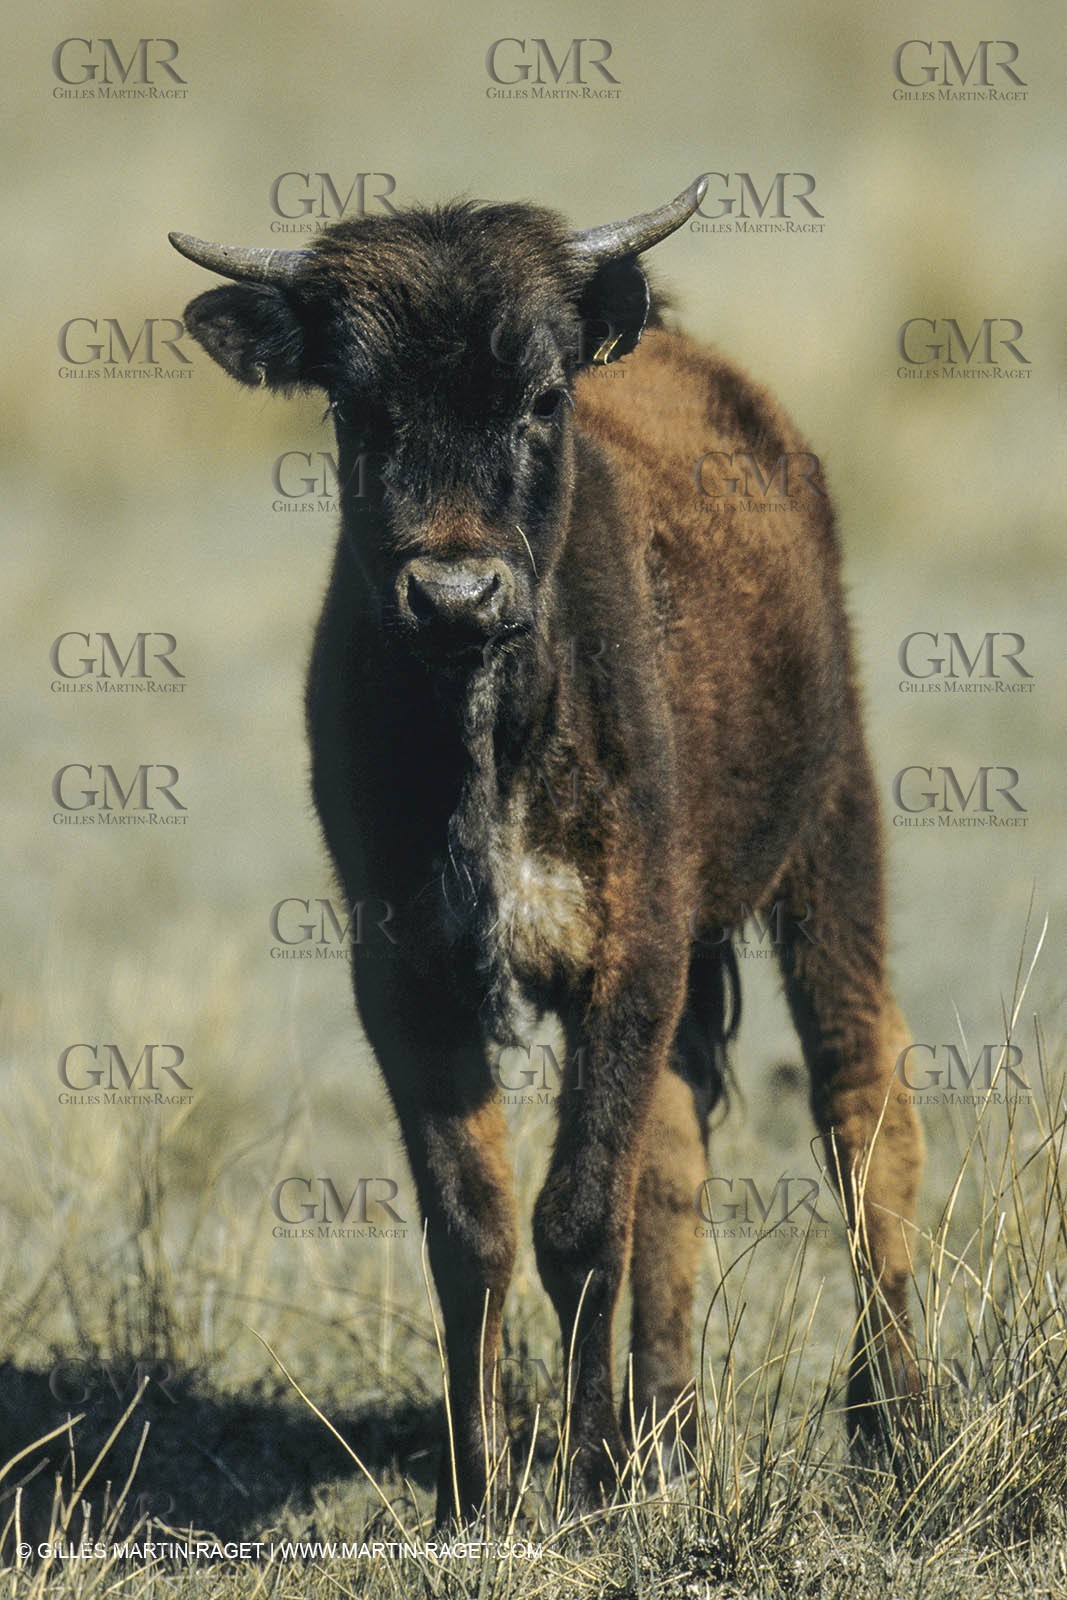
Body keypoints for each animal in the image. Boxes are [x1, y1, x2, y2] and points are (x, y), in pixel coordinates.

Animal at [169, 178, 924, 1523]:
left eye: (539, 399)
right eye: (358, 405)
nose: (455, 594)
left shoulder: (630, 952)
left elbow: (576, 1217)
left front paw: (577, 1479)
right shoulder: (405, 975)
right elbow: (471, 1224)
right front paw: (481, 1489)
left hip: (831, 839)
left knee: (858, 1089)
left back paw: (892, 1420)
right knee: (673, 1154)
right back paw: (668, 1427)